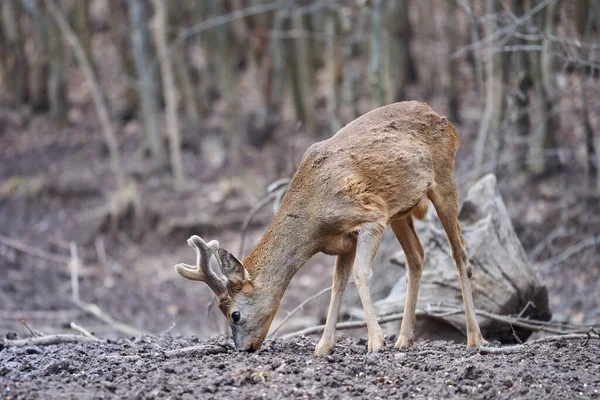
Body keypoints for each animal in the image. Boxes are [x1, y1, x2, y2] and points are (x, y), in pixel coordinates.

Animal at [173, 102, 482, 354]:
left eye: (234, 314)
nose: (244, 349)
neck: (314, 221)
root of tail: (446, 119)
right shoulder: (344, 240)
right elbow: (337, 283)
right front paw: (323, 346)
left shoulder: (371, 217)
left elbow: (359, 274)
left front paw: (375, 341)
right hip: (400, 210)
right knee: (416, 256)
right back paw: (404, 339)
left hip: (443, 179)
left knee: (460, 253)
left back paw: (474, 338)